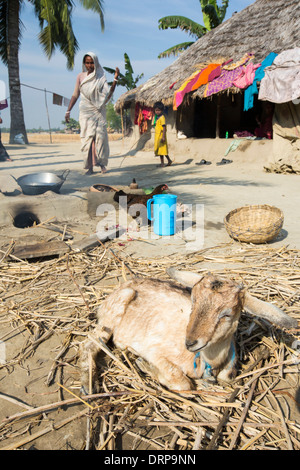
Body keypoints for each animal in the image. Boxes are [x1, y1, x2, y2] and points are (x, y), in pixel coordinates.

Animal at [80, 268, 298, 392]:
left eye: (226, 314)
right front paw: (144, 365)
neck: (207, 361)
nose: (190, 342)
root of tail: (124, 284)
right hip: (114, 309)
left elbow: (226, 378)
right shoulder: (155, 350)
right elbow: (183, 384)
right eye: (193, 301)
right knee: (90, 343)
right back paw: (88, 385)